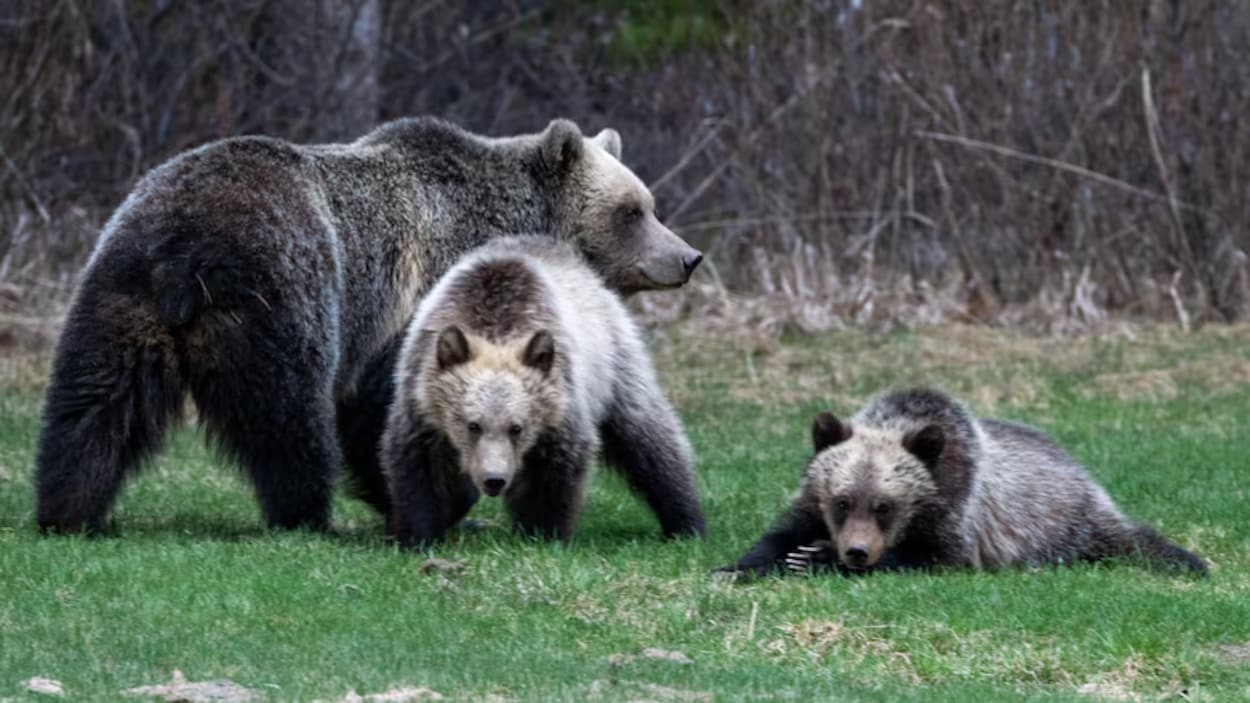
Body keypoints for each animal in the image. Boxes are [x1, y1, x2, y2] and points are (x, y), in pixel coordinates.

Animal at [380, 235, 703, 547]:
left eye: (516, 427)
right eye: (473, 425)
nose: (494, 480)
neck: (495, 329)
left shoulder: (560, 404)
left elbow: (557, 471)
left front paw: (542, 533)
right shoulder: (421, 400)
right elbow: (417, 467)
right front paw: (418, 534)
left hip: (615, 361)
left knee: (648, 436)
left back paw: (685, 521)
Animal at [718, 388, 1207, 577]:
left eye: (885, 505)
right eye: (842, 501)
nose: (855, 552)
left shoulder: (956, 510)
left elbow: (938, 558)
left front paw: (815, 557)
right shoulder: (810, 497)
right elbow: (781, 533)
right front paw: (742, 566)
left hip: (1066, 523)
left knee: (1131, 539)